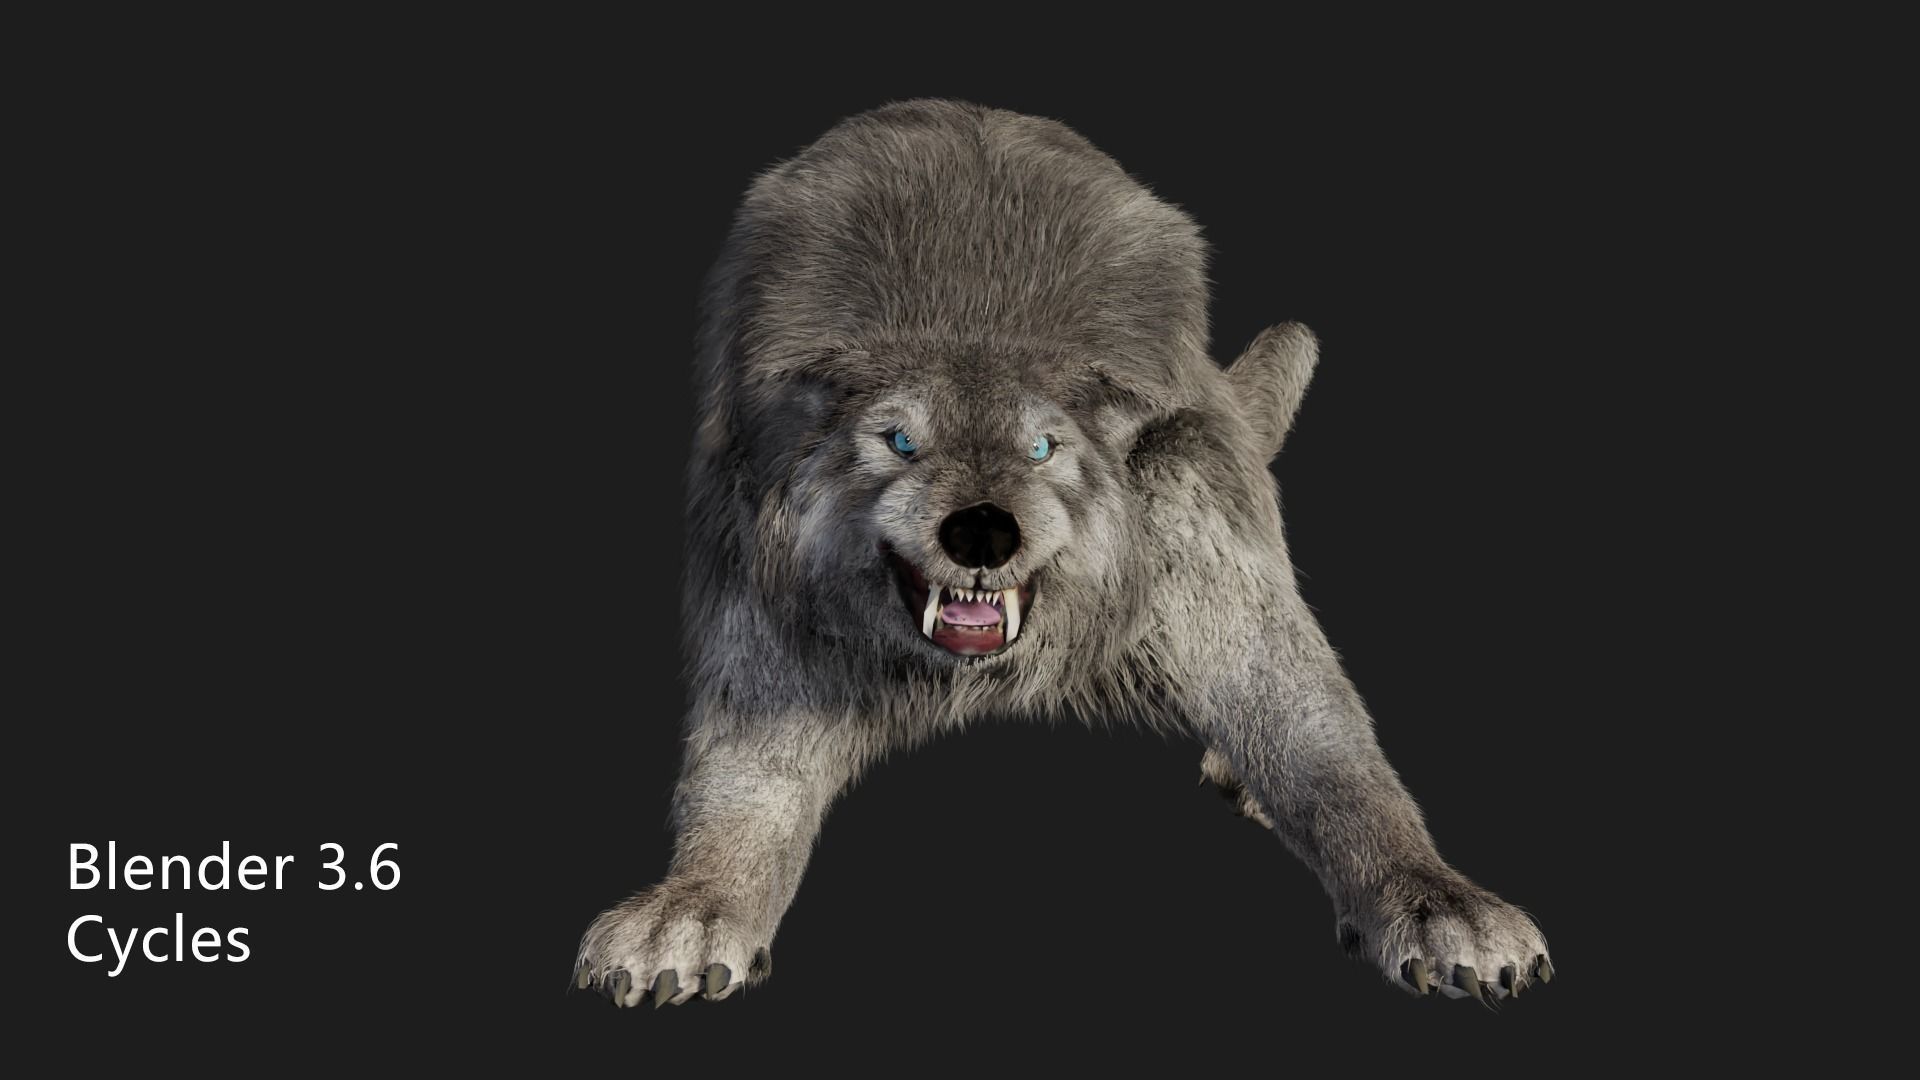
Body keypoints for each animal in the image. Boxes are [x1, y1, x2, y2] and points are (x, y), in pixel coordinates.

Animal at [575, 99, 1552, 1007]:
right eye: (900, 441)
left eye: (1043, 448)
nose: (980, 529)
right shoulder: (760, 609)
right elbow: (745, 794)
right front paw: (689, 912)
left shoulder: (1200, 523)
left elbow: (1326, 747)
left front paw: (1437, 903)